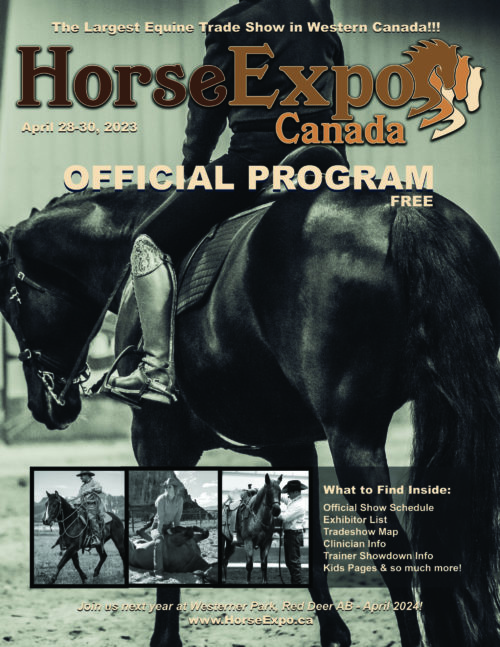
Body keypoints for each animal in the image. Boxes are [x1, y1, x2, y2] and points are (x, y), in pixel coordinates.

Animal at [2, 178, 500, 647]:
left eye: (11, 305)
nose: (44, 406)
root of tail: (404, 211)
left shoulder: (157, 439)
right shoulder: (288, 447)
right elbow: (308, 547)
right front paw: (334, 635)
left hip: (353, 438)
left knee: (394, 552)